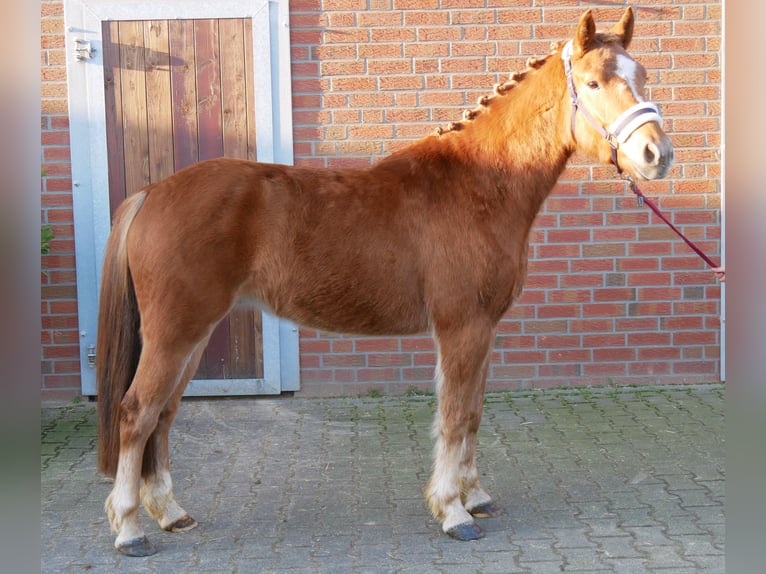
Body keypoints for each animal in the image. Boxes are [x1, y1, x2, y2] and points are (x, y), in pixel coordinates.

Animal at [94, 7, 672, 560]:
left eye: (642, 74)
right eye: (594, 83)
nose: (657, 155)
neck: (481, 184)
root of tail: (152, 192)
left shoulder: (485, 329)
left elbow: (474, 413)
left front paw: (475, 496)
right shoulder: (462, 328)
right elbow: (455, 416)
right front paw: (453, 512)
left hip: (189, 338)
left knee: (164, 415)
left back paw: (171, 512)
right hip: (176, 334)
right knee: (137, 413)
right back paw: (130, 530)